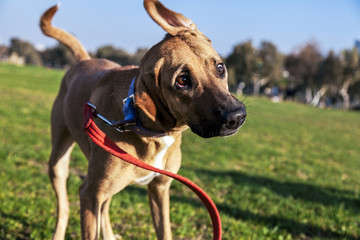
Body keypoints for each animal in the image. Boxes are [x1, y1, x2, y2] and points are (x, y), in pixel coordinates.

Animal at [40, 0, 246, 239]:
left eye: (220, 68)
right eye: (182, 81)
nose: (236, 116)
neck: (148, 130)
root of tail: (84, 60)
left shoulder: (160, 188)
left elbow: (164, 231)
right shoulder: (90, 193)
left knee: (105, 208)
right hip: (59, 164)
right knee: (64, 206)